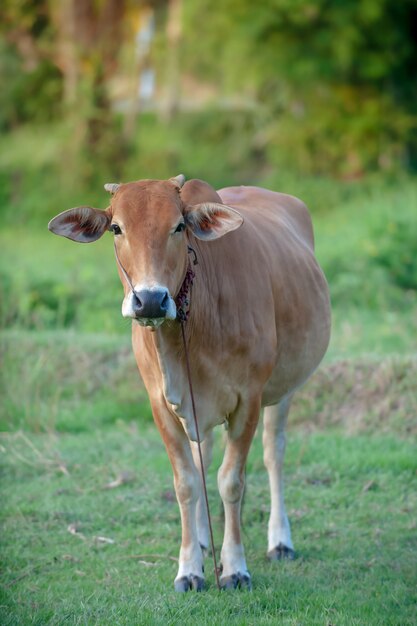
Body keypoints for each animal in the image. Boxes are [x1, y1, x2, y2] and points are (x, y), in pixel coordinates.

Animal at [48, 176, 328, 588]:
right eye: (116, 228)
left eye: (179, 226)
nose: (149, 300)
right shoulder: (162, 405)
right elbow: (186, 481)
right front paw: (189, 568)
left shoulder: (249, 400)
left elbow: (232, 481)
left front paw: (235, 567)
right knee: (203, 460)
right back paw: (202, 539)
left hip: (284, 390)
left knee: (273, 453)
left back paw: (280, 541)